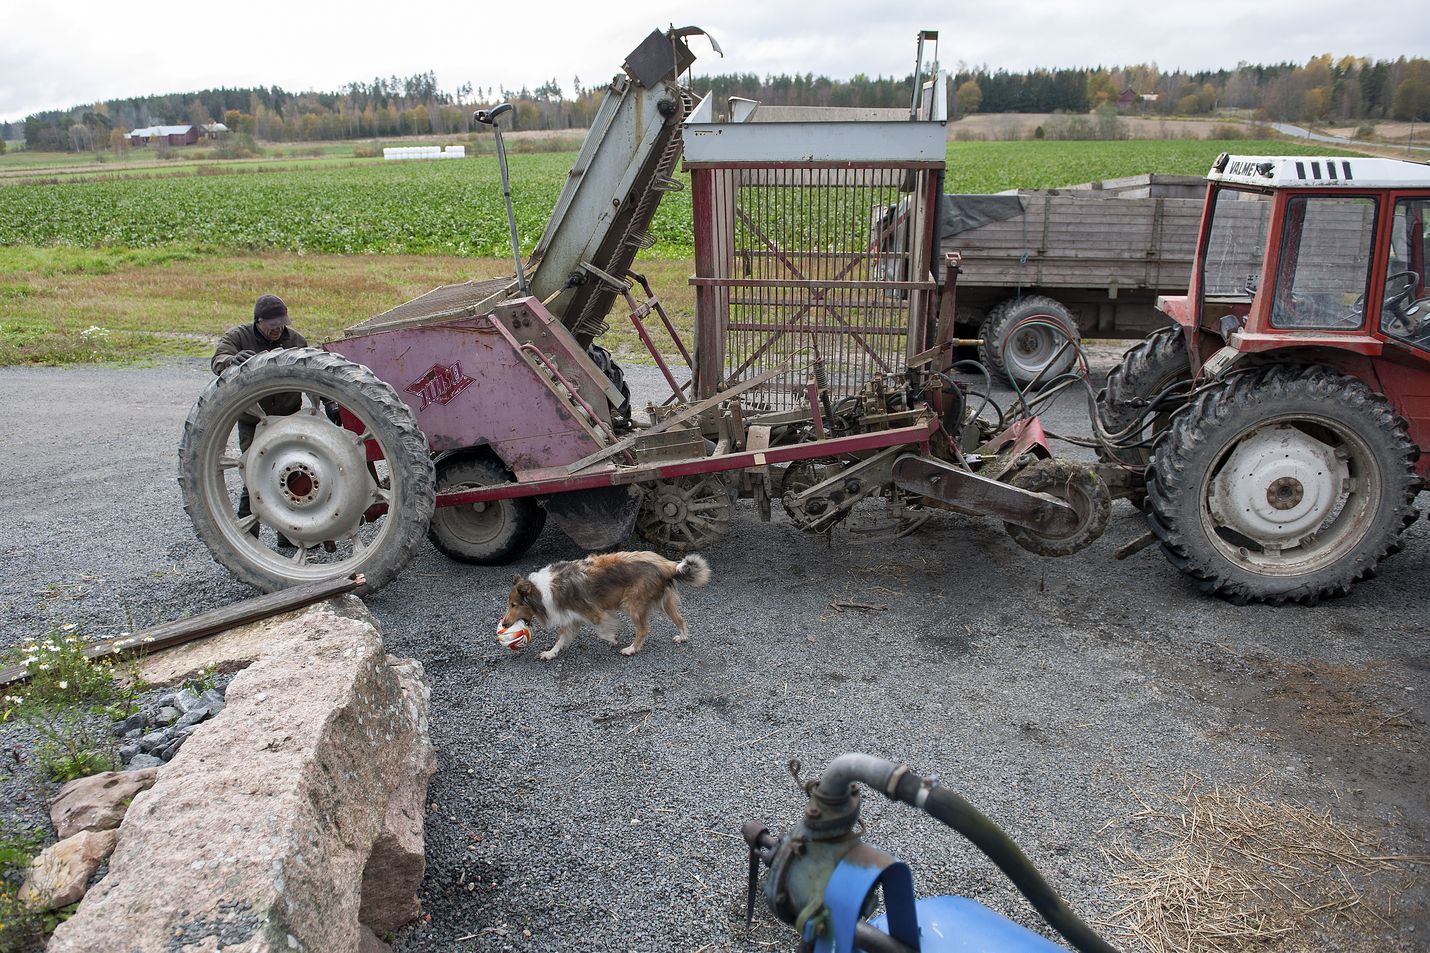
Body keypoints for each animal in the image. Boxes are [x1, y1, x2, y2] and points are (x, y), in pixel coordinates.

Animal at [500, 552, 712, 658]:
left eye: (514, 604)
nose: (504, 624)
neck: (540, 590)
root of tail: (667, 565)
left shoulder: (593, 612)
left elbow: (601, 629)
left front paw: (612, 639)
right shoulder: (571, 618)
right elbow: (560, 639)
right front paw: (549, 654)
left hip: (633, 603)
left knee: (643, 629)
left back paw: (631, 649)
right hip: (664, 602)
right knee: (680, 618)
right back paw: (682, 637)